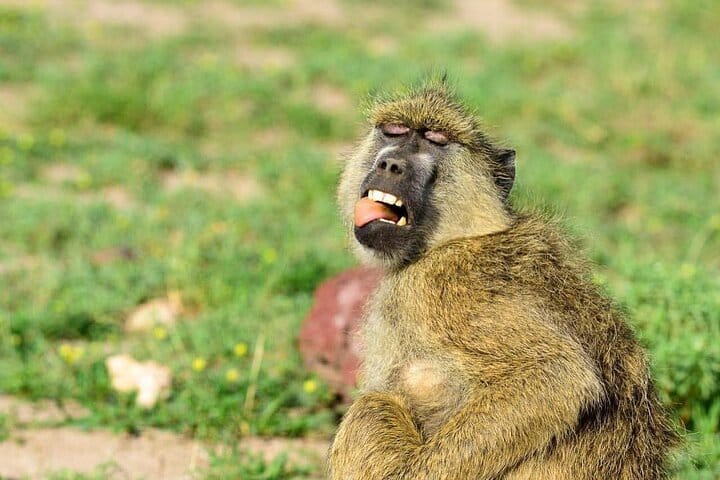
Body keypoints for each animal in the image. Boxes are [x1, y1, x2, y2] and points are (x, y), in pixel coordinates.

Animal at [329, 79, 678, 479]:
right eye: (394, 131)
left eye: (436, 139)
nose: (390, 164)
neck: (457, 237)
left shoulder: (439, 288)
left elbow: (560, 376)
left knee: (370, 410)